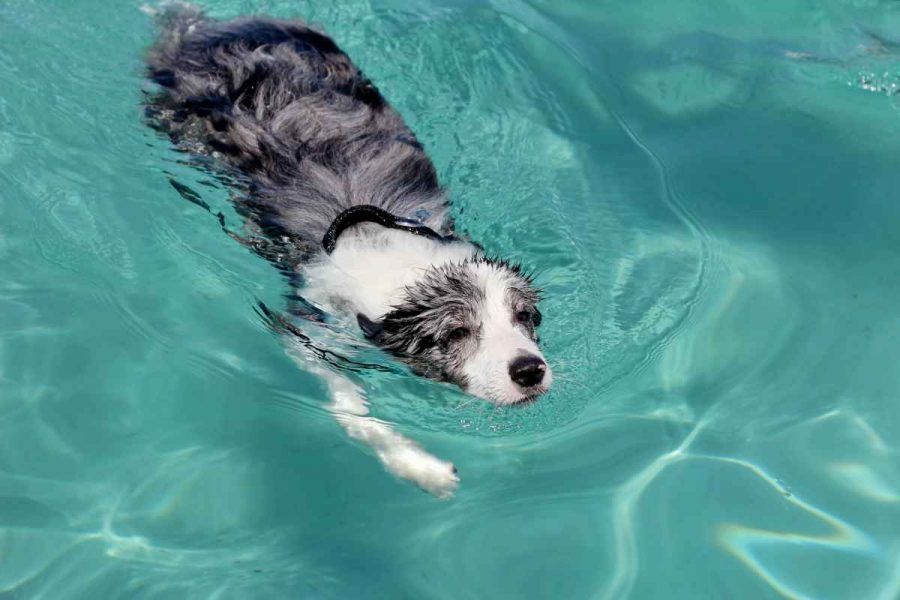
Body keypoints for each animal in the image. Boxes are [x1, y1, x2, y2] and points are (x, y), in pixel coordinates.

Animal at [145, 3, 552, 496]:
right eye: (455, 333)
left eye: (523, 316)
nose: (529, 370)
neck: (398, 258)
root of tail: (210, 27)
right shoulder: (309, 323)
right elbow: (348, 405)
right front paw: (419, 466)